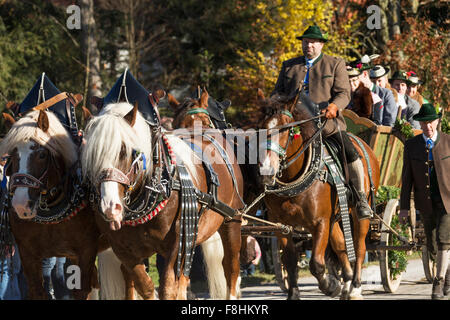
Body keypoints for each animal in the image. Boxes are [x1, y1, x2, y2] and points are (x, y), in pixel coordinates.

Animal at [0, 110, 110, 300]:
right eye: (12, 155)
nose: (21, 205)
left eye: (42, 155)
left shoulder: (86, 251)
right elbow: (37, 290)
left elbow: (82, 290)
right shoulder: (28, 254)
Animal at [256, 90, 380, 300]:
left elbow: (316, 263)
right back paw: (347, 282)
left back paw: (355, 286)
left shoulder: (320, 223)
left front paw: (330, 285)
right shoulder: (281, 226)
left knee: (359, 247)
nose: (266, 171)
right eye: (261, 128)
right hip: (336, 217)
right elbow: (290, 261)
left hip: (359, 214)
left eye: (285, 129)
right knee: (341, 246)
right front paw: (294, 293)